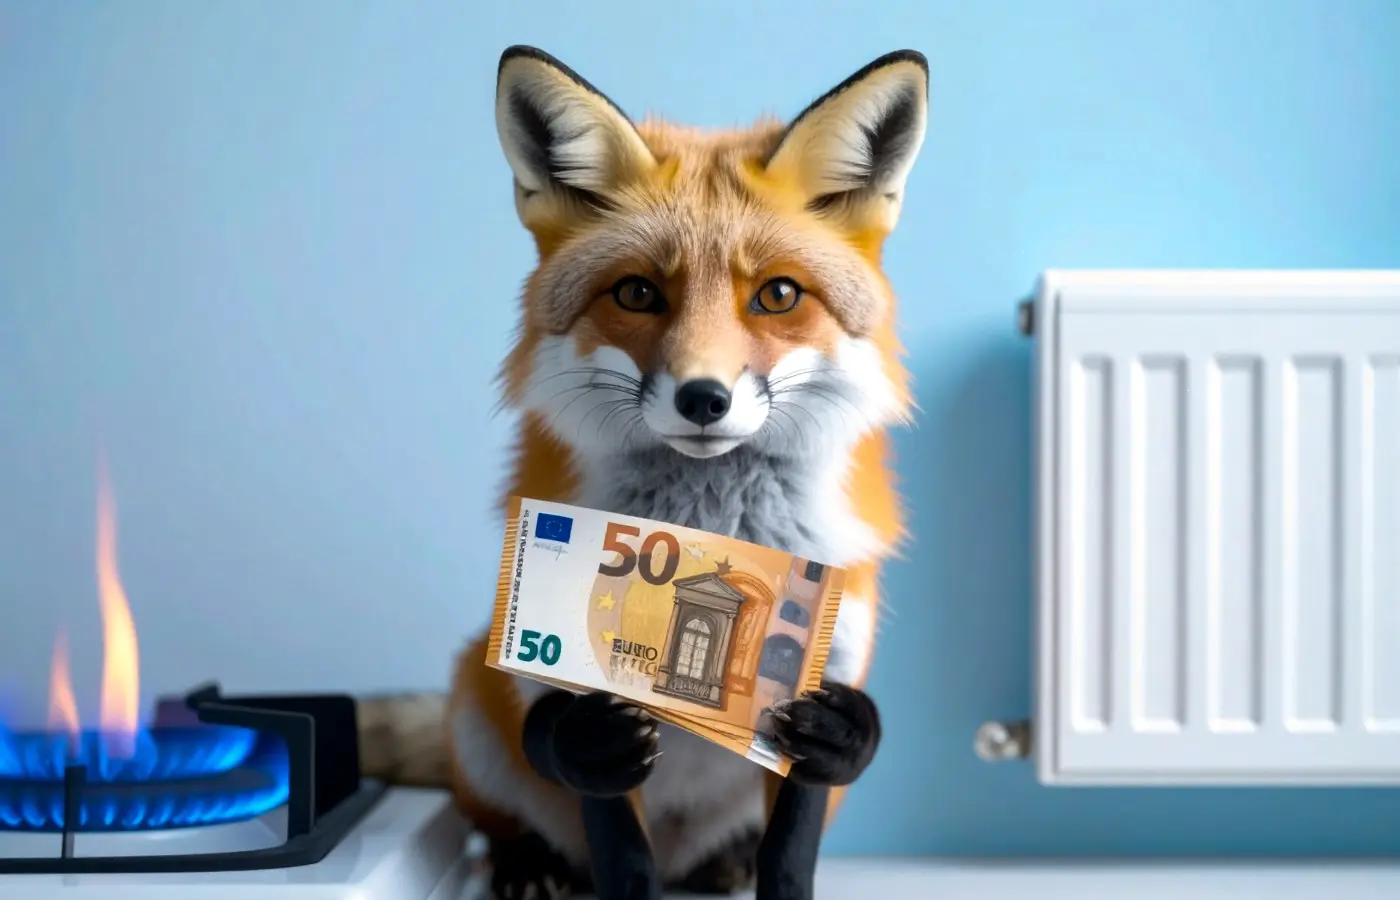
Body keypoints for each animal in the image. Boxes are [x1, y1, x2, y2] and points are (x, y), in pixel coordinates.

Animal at [355, 44, 928, 900]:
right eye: (636, 292)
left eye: (778, 294)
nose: (704, 398)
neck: (709, 527)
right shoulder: (572, 693)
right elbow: (612, 833)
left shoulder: (820, 683)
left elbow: (795, 843)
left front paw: (841, 747)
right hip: (474, 711)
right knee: (498, 822)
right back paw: (530, 865)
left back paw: (722, 864)